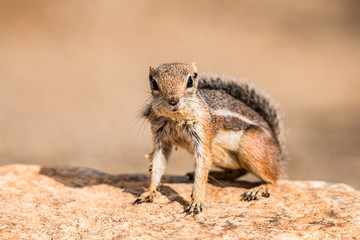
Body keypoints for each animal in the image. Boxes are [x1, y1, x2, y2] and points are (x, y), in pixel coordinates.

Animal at [134, 62, 286, 215]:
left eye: (190, 81)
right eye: (154, 83)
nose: (173, 101)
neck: (176, 118)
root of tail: (278, 149)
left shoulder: (202, 133)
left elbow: (202, 166)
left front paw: (196, 201)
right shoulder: (161, 139)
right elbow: (157, 164)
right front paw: (149, 192)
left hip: (250, 146)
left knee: (275, 180)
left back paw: (258, 190)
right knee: (239, 171)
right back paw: (216, 175)